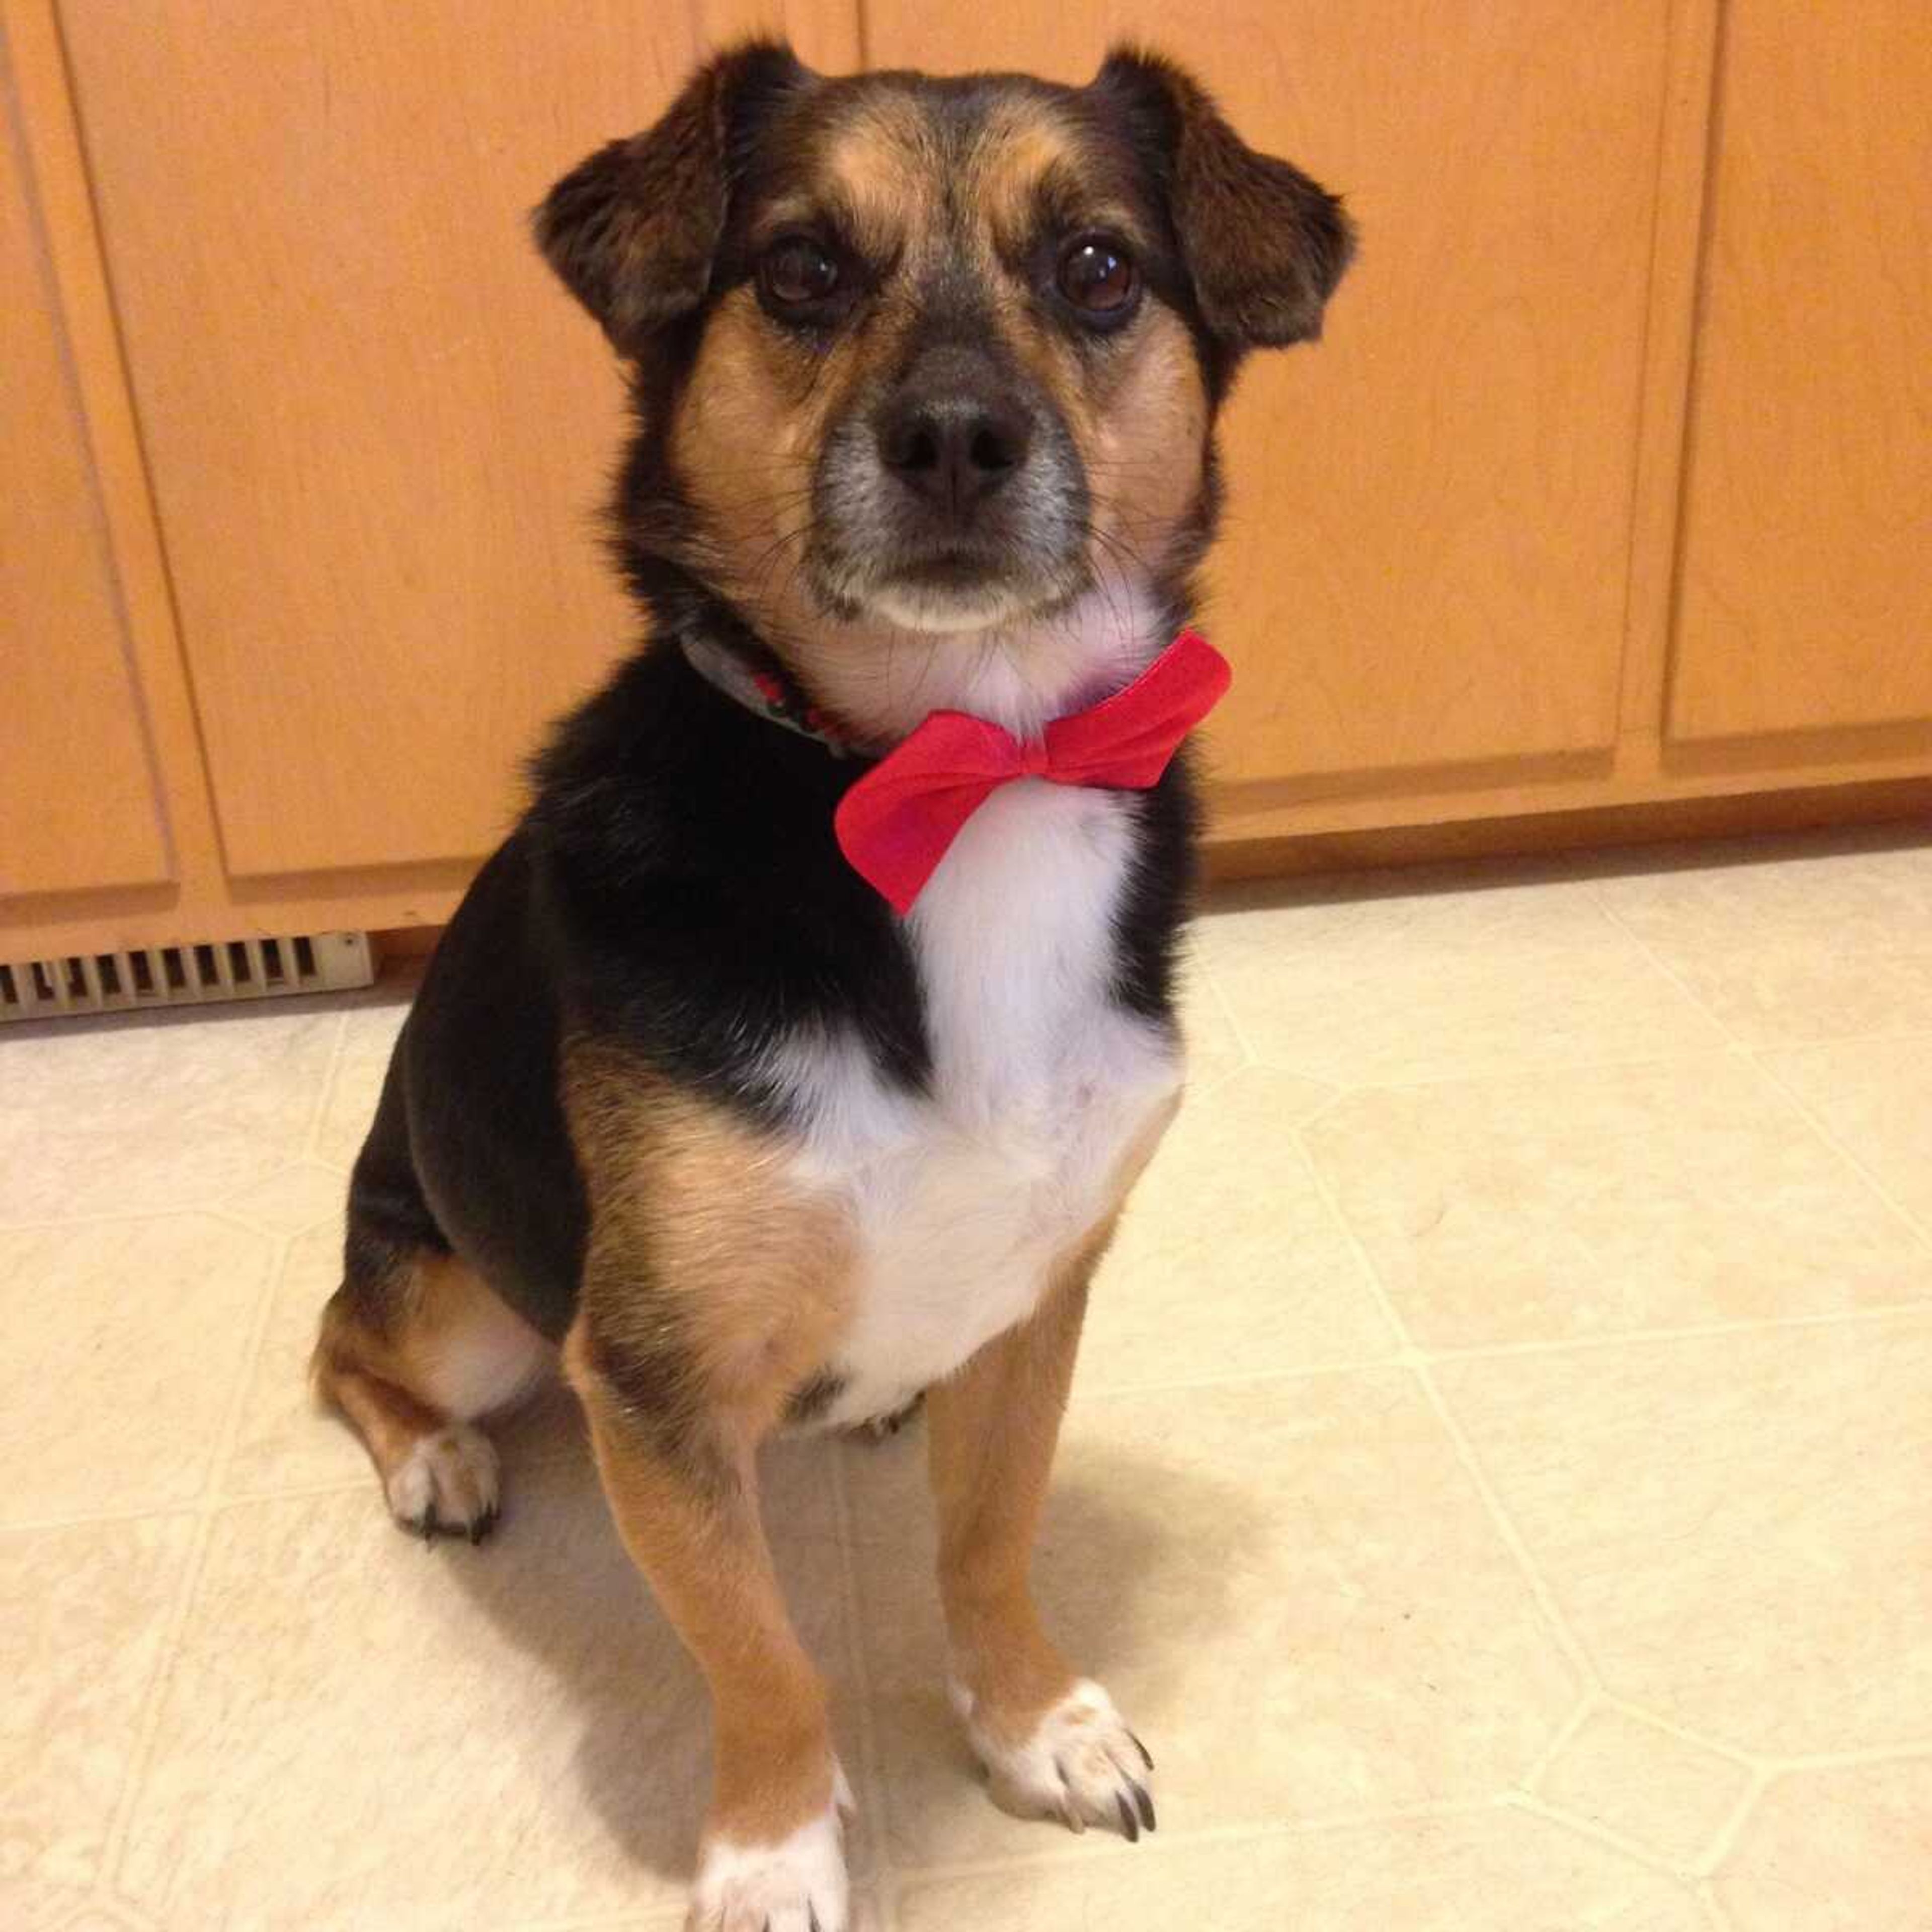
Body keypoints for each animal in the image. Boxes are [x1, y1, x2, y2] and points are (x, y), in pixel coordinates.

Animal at [313, 41, 1344, 1932]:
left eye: (1098, 268)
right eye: (799, 267)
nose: (952, 438)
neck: (955, 766)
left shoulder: (1034, 1292)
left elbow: (991, 1542)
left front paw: (1032, 1722)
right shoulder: (648, 1376)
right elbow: (759, 1655)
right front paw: (775, 1847)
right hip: (468, 1309)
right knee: (344, 1338)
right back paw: (434, 1455)